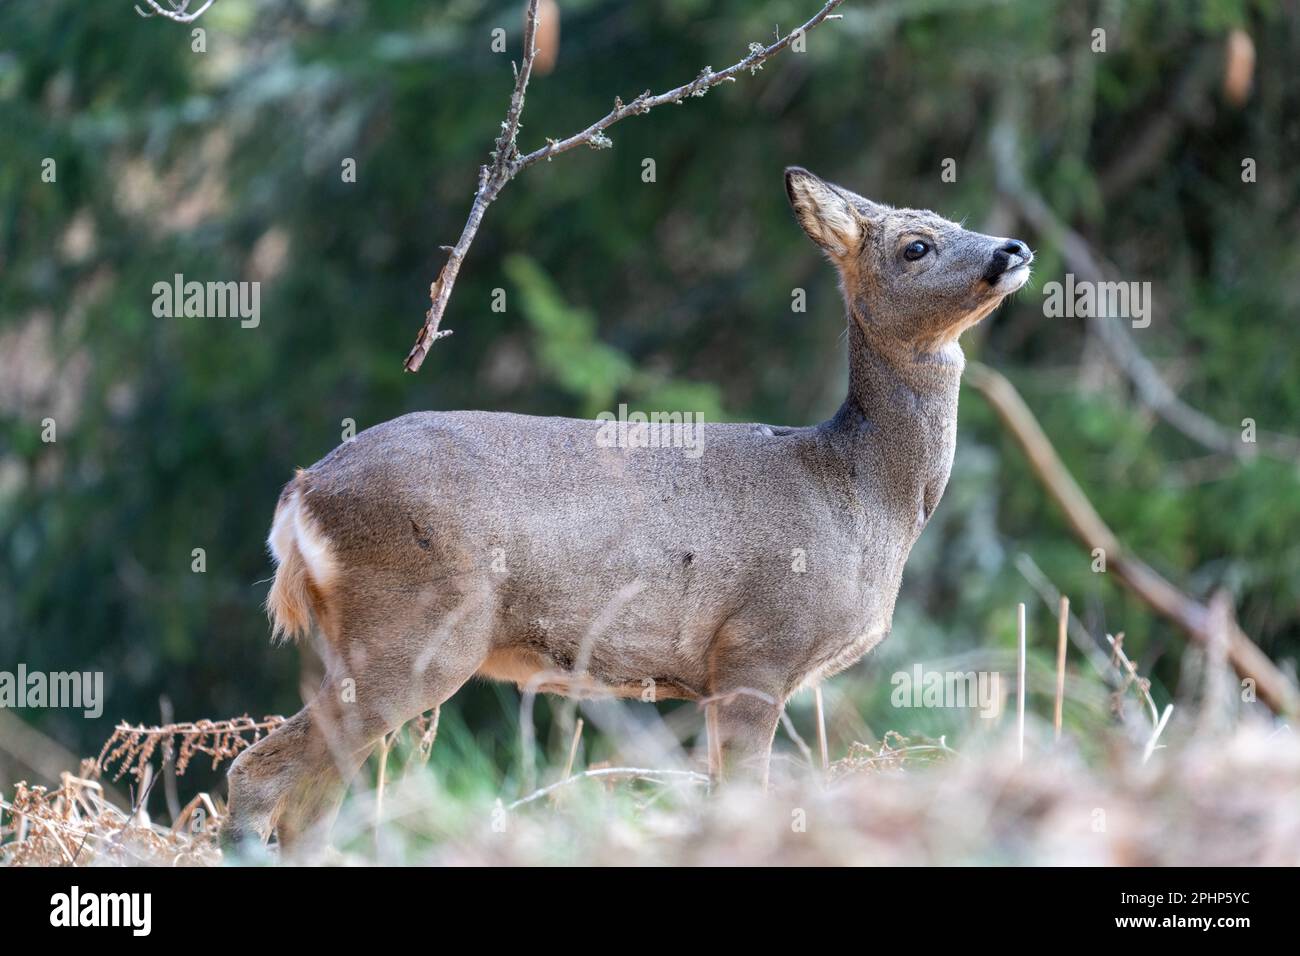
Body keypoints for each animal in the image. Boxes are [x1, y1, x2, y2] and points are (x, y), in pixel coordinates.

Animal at [226, 166, 1034, 853]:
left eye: (953, 220)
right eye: (915, 245)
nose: (1014, 248)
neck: (860, 493)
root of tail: (302, 491)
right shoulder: (757, 648)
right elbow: (742, 793)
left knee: (311, 802)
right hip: (417, 629)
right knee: (257, 775)